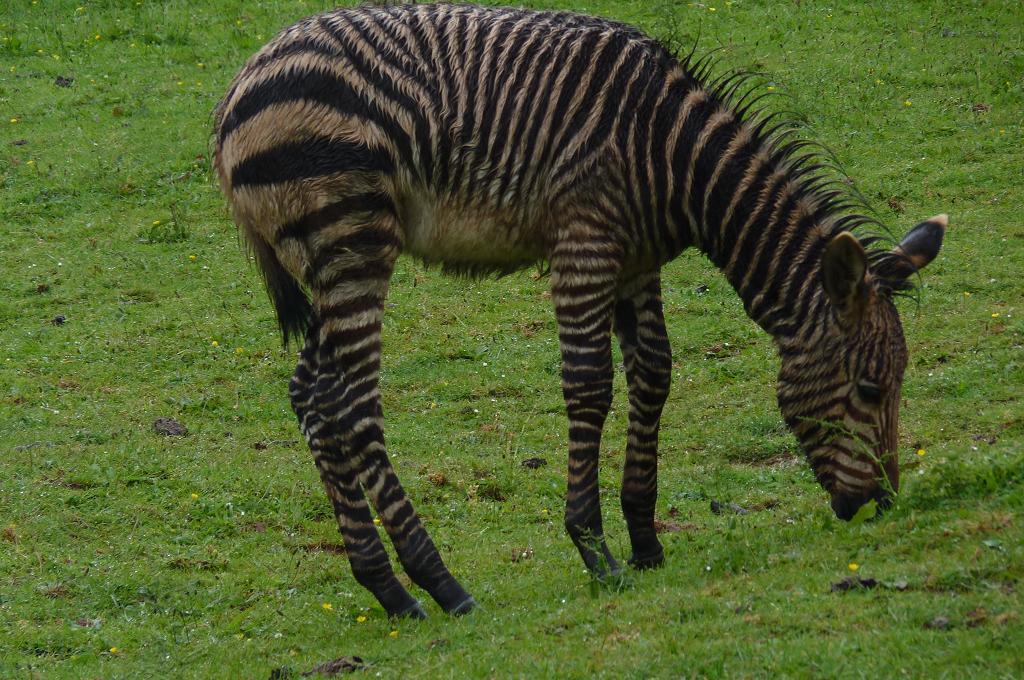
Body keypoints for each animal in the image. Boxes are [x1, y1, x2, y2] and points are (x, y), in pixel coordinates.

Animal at [213, 3, 945, 618]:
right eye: (870, 387)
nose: (881, 506)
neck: (673, 158)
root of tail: (236, 92)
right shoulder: (585, 243)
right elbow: (591, 384)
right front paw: (595, 550)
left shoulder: (636, 260)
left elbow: (654, 375)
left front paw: (645, 538)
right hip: (352, 237)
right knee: (355, 404)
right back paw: (441, 582)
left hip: (325, 262)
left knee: (314, 395)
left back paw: (386, 588)